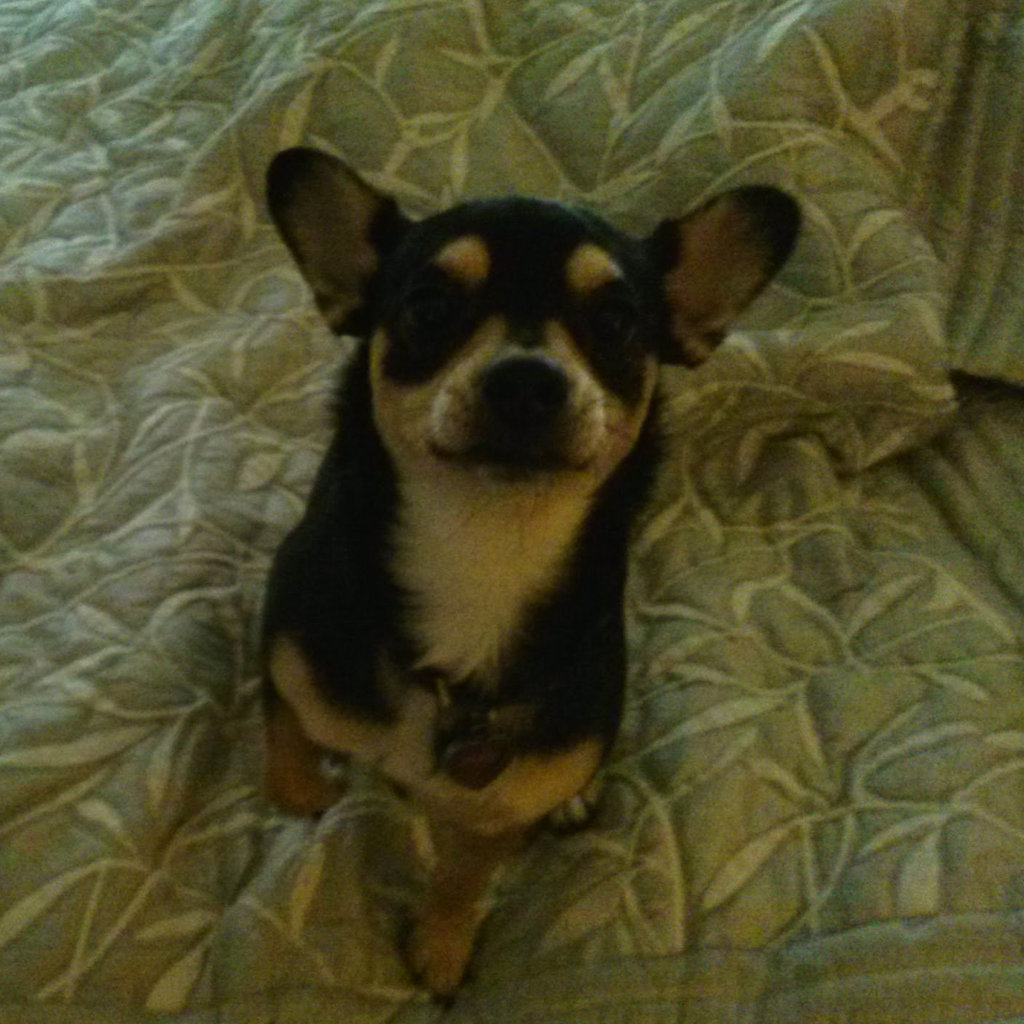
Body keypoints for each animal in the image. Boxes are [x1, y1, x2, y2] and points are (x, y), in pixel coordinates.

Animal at [260, 146, 799, 997]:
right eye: (428, 309)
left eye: (616, 323)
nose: (526, 379)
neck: (483, 550)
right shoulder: (289, 640)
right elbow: (283, 729)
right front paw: (305, 788)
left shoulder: (496, 816)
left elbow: (462, 878)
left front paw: (441, 947)